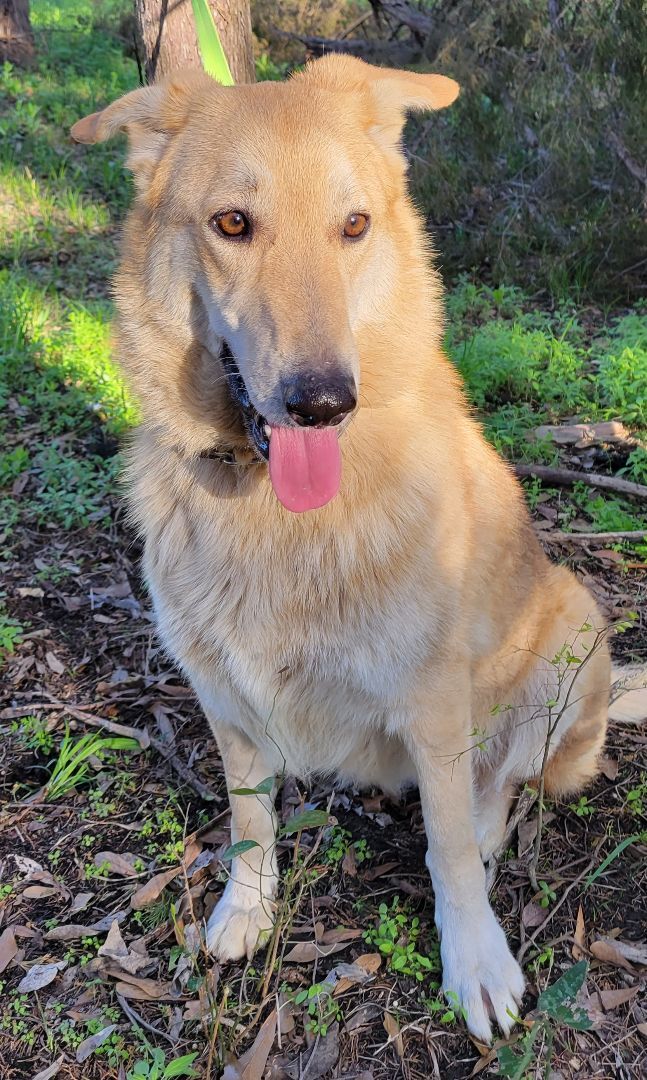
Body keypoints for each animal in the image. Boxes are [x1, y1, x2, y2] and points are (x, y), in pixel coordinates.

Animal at [69, 54, 639, 1041]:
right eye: (231, 223)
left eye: (355, 226)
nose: (323, 402)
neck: (275, 514)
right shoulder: (222, 693)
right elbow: (249, 819)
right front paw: (248, 908)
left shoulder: (436, 700)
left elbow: (447, 846)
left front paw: (474, 959)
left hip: (570, 627)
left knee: (504, 784)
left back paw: (489, 828)